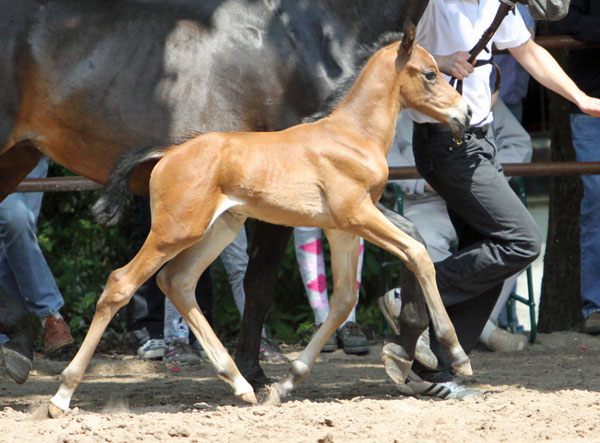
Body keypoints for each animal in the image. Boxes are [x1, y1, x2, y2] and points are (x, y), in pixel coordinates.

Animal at [49, 25, 472, 416]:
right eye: (430, 73)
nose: (465, 114)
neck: (351, 135)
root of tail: (167, 153)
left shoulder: (344, 227)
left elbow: (344, 299)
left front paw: (287, 383)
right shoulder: (356, 214)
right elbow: (417, 253)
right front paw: (457, 354)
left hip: (218, 229)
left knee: (178, 282)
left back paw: (240, 383)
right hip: (175, 231)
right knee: (121, 284)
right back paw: (62, 395)